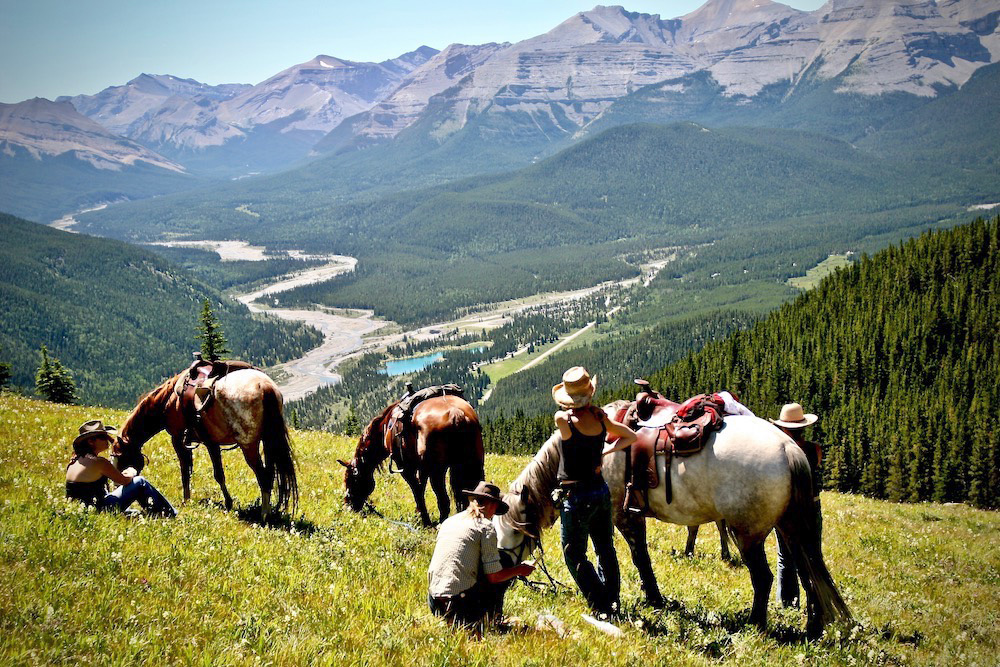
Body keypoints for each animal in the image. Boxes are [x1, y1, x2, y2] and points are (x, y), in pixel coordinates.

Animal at [114, 370, 296, 516]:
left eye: (120, 458)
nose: (118, 483)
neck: (168, 400)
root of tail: (264, 386)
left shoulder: (178, 439)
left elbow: (187, 471)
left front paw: (187, 500)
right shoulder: (210, 442)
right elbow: (216, 473)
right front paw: (228, 503)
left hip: (249, 446)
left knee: (263, 476)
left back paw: (264, 515)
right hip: (268, 441)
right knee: (271, 474)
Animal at [338, 396, 486, 528]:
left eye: (350, 480)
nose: (347, 506)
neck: (386, 427)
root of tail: (456, 413)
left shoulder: (405, 466)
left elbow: (417, 489)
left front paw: (424, 520)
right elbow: (420, 487)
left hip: (437, 471)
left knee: (443, 499)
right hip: (474, 465)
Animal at [494, 404, 852, 640]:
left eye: (511, 535)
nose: (504, 579)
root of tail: (788, 447)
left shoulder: (622, 515)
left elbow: (638, 558)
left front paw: (652, 598)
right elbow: (611, 556)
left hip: (747, 533)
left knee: (763, 577)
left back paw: (756, 624)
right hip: (789, 528)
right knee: (807, 574)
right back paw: (812, 627)